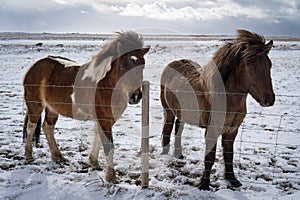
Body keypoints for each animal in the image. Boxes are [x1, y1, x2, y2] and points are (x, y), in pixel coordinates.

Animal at [23, 31, 150, 183]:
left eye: (142, 66)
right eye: (123, 66)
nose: (135, 96)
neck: (106, 85)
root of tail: (34, 66)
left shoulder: (107, 119)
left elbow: (98, 138)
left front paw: (93, 162)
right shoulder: (104, 119)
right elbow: (109, 146)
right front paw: (111, 177)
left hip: (52, 108)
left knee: (47, 128)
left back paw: (58, 156)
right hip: (35, 105)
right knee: (31, 127)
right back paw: (29, 156)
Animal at [161, 29, 276, 189]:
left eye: (269, 64)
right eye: (250, 65)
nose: (269, 100)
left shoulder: (232, 131)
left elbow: (229, 155)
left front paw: (232, 180)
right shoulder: (212, 131)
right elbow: (210, 158)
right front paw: (204, 184)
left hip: (182, 113)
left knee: (178, 129)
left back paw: (179, 155)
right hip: (168, 111)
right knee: (167, 130)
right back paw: (165, 155)